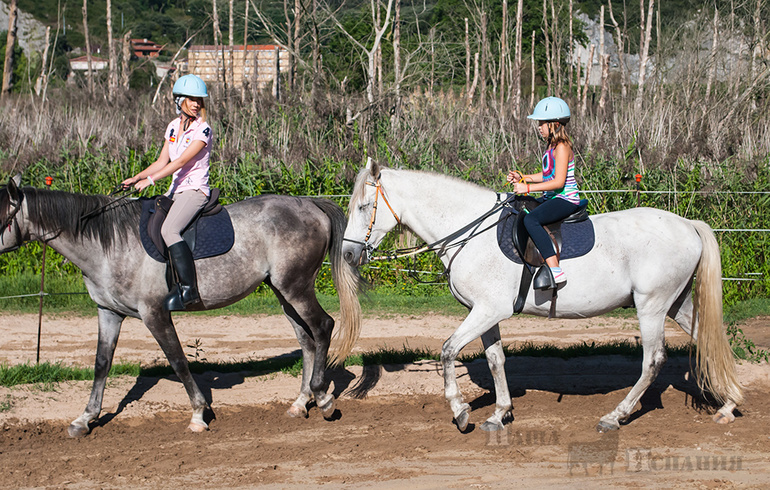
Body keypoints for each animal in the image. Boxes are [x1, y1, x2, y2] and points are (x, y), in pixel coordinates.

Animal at [0, 176, 362, 436]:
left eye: (0, 214)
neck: (108, 244)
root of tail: (309, 204)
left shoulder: (154, 313)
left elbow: (178, 361)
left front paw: (199, 415)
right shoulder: (109, 313)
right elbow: (102, 364)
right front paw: (85, 418)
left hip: (295, 287)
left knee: (323, 327)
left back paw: (323, 398)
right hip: (282, 290)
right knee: (305, 339)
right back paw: (300, 402)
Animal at [340, 161, 736, 432]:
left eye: (363, 207)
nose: (347, 254)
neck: (470, 232)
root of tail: (688, 225)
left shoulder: (487, 310)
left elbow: (449, 349)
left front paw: (461, 411)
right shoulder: (486, 313)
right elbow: (496, 359)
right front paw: (500, 414)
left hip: (651, 306)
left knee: (652, 360)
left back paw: (614, 416)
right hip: (676, 303)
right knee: (709, 341)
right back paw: (729, 404)